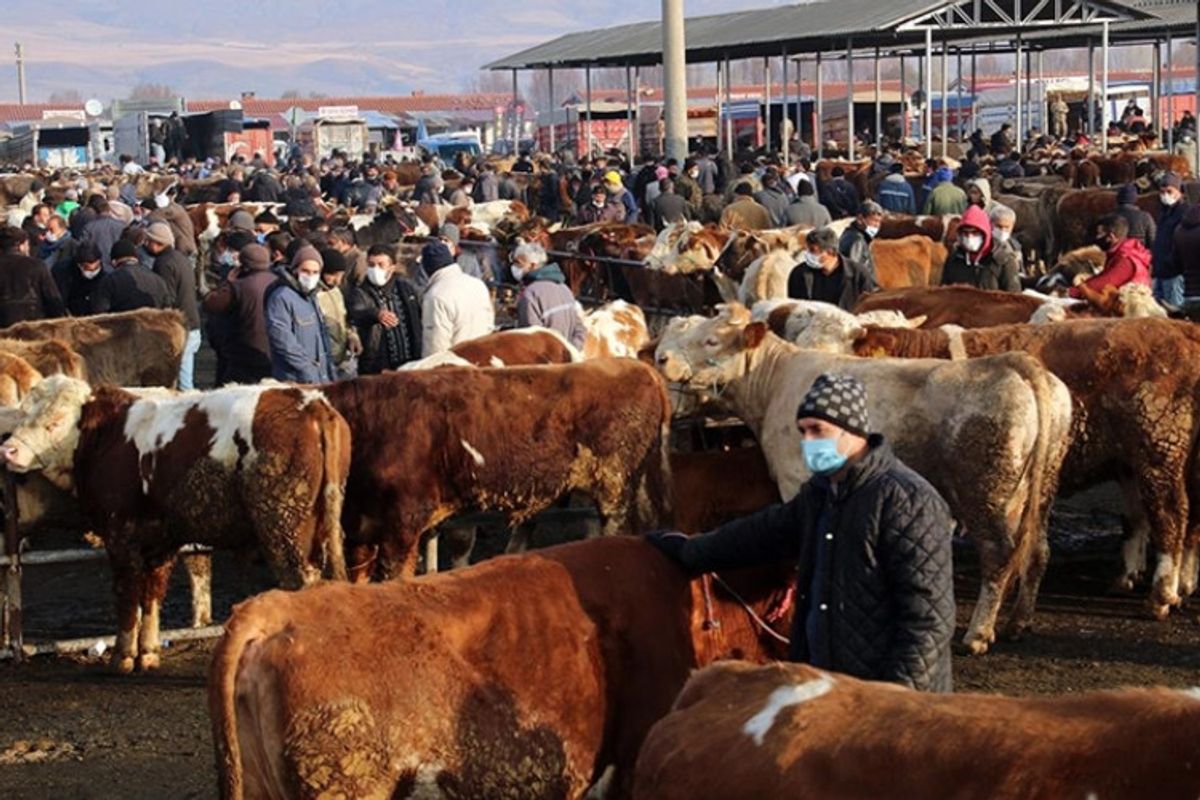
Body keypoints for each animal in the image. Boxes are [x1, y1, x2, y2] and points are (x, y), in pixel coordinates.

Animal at [0, 377, 351, 672]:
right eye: (24, 414)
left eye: (55, 422)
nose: (8, 450)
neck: (108, 437)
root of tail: (309, 403)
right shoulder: (160, 540)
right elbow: (152, 593)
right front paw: (148, 651)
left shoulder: (120, 536)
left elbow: (127, 593)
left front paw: (122, 656)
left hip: (283, 530)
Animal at [776, 310, 1200, 617]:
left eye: (837, 353)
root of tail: (1183, 331)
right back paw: (1166, 583)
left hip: (1159, 450)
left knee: (1172, 514)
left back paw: (1162, 594)